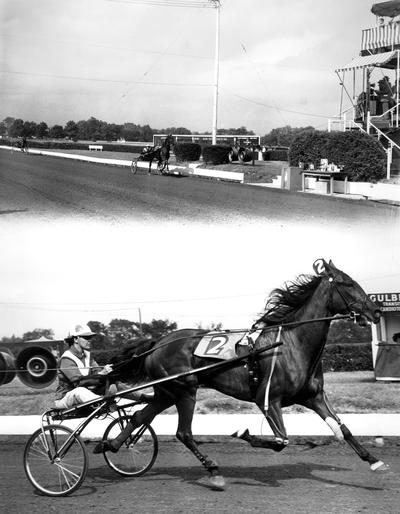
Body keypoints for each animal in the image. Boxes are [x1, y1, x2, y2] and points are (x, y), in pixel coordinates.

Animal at [95, 258, 386, 490]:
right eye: (347, 283)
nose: (376, 310)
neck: (291, 343)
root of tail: (158, 342)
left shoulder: (312, 397)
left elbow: (343, 429)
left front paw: (374, 461)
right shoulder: (267, 399)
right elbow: (281, 440)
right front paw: (242, 433)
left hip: (167, 392)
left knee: (139, 416)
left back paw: (110, 445)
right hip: (185, 389)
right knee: (184, 433)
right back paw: (213, 470)